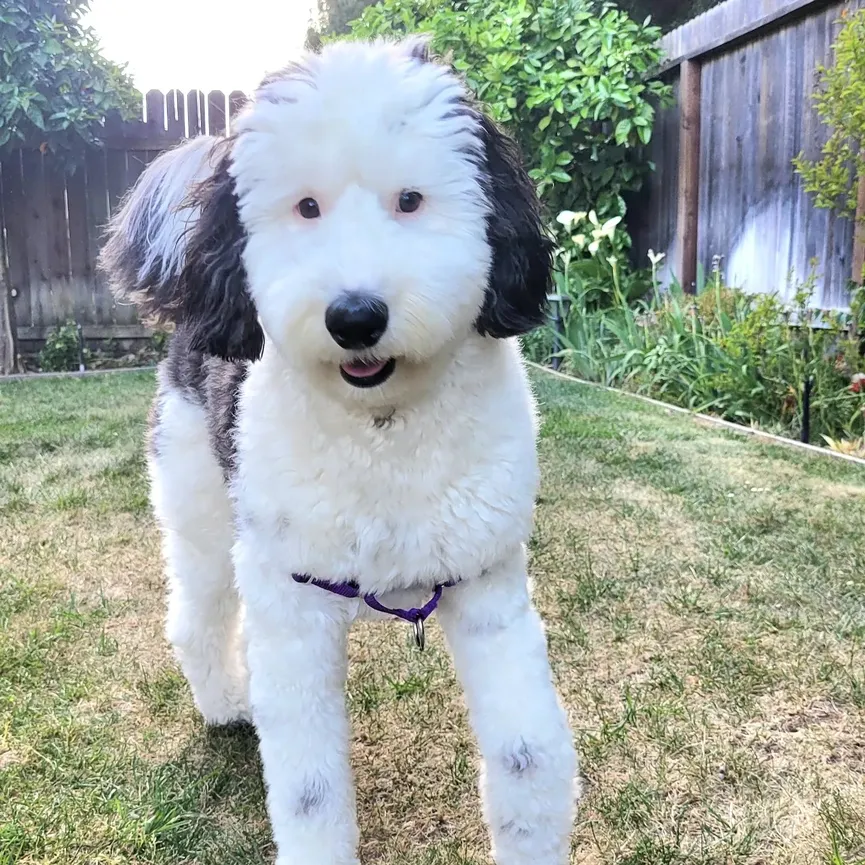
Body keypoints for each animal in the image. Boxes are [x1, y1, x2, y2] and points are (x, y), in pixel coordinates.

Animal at [98, 35, 576, 864]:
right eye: (306, 207)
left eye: (410, 200)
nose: (354, 316)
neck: (380, 427)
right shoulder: (292, 603)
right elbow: (308, 787)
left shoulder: (487, 580)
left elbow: (528, 754)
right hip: (201, 510)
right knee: (196, 616)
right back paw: (225, 704)